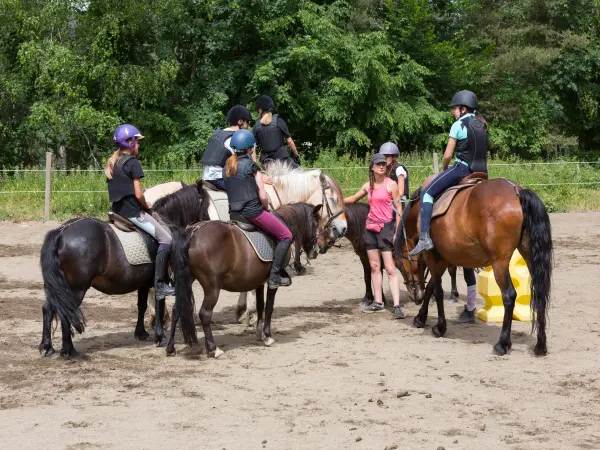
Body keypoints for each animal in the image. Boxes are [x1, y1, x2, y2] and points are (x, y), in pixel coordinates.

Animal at [38, 181, 210, 360]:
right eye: (205, 203)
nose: (206, 222)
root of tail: (61, 232)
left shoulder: (143, 282)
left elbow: (141, 305)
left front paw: (141, 333)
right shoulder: (159, 281)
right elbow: (159, 304)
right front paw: (159, 337)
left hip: (58, 288)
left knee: (49, 309)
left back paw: (48, 348)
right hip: (76, 289)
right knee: (65, 311)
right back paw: (69, 351)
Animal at [164, 202, 324, 356]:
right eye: (315, 223)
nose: (316, 251)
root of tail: (192, 233)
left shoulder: (259, 281)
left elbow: (260, 306)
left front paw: (259, 333)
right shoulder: (272, 282)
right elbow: (269, 307)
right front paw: (268, 336)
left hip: (186, 281)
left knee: (177, 309)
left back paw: (170, 348)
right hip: (212, 287)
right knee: (205, 314)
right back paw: (214, 349)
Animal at [396, 178, 552, 356]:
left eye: (400, 266)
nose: (415, 296)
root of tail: (517, 190)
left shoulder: (433, 257)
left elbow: (438, 291)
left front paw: (440, 327)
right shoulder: (443, 259)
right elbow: (431, 287)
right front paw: (420, 317)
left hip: (499, 262)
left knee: (509, 295)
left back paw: (502, 344)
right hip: (529, 255)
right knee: (539, 294)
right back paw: (540, 345)